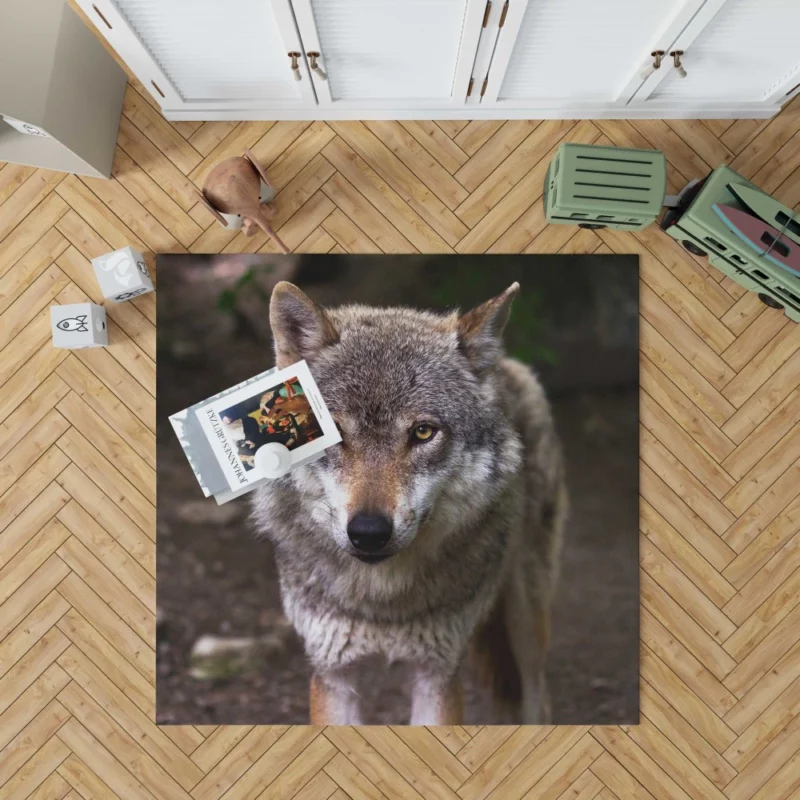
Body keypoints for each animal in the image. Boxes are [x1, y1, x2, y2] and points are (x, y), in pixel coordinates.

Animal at [253, 282, 564, 724]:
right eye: (334, 432)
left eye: (422, 432)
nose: (368, 533)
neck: (382, 601)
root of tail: (505, 365)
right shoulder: (333, 674)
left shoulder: (436, 674)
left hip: (527, 624)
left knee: (539, 696)